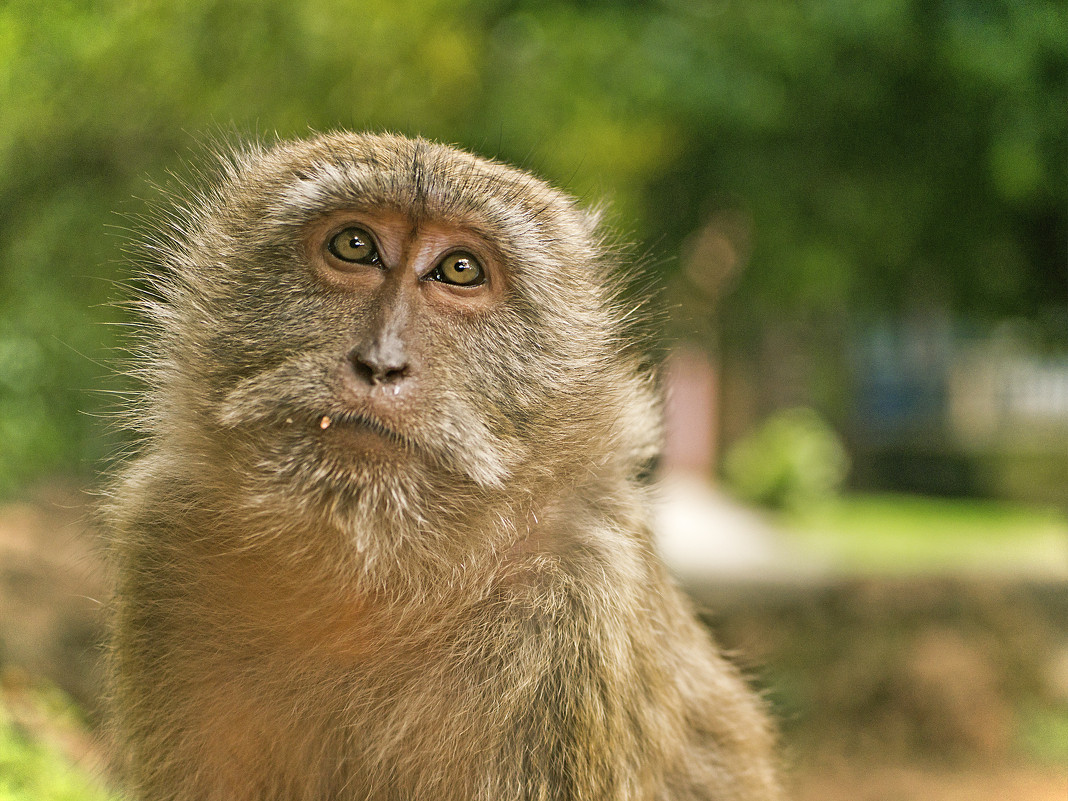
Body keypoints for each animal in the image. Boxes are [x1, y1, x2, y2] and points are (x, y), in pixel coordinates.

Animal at [104, 133, 781, 801]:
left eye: (460, 270)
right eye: (354, 246)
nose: (381, 363)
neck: (371, 574)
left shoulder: (568, 607)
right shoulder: (166, 541)